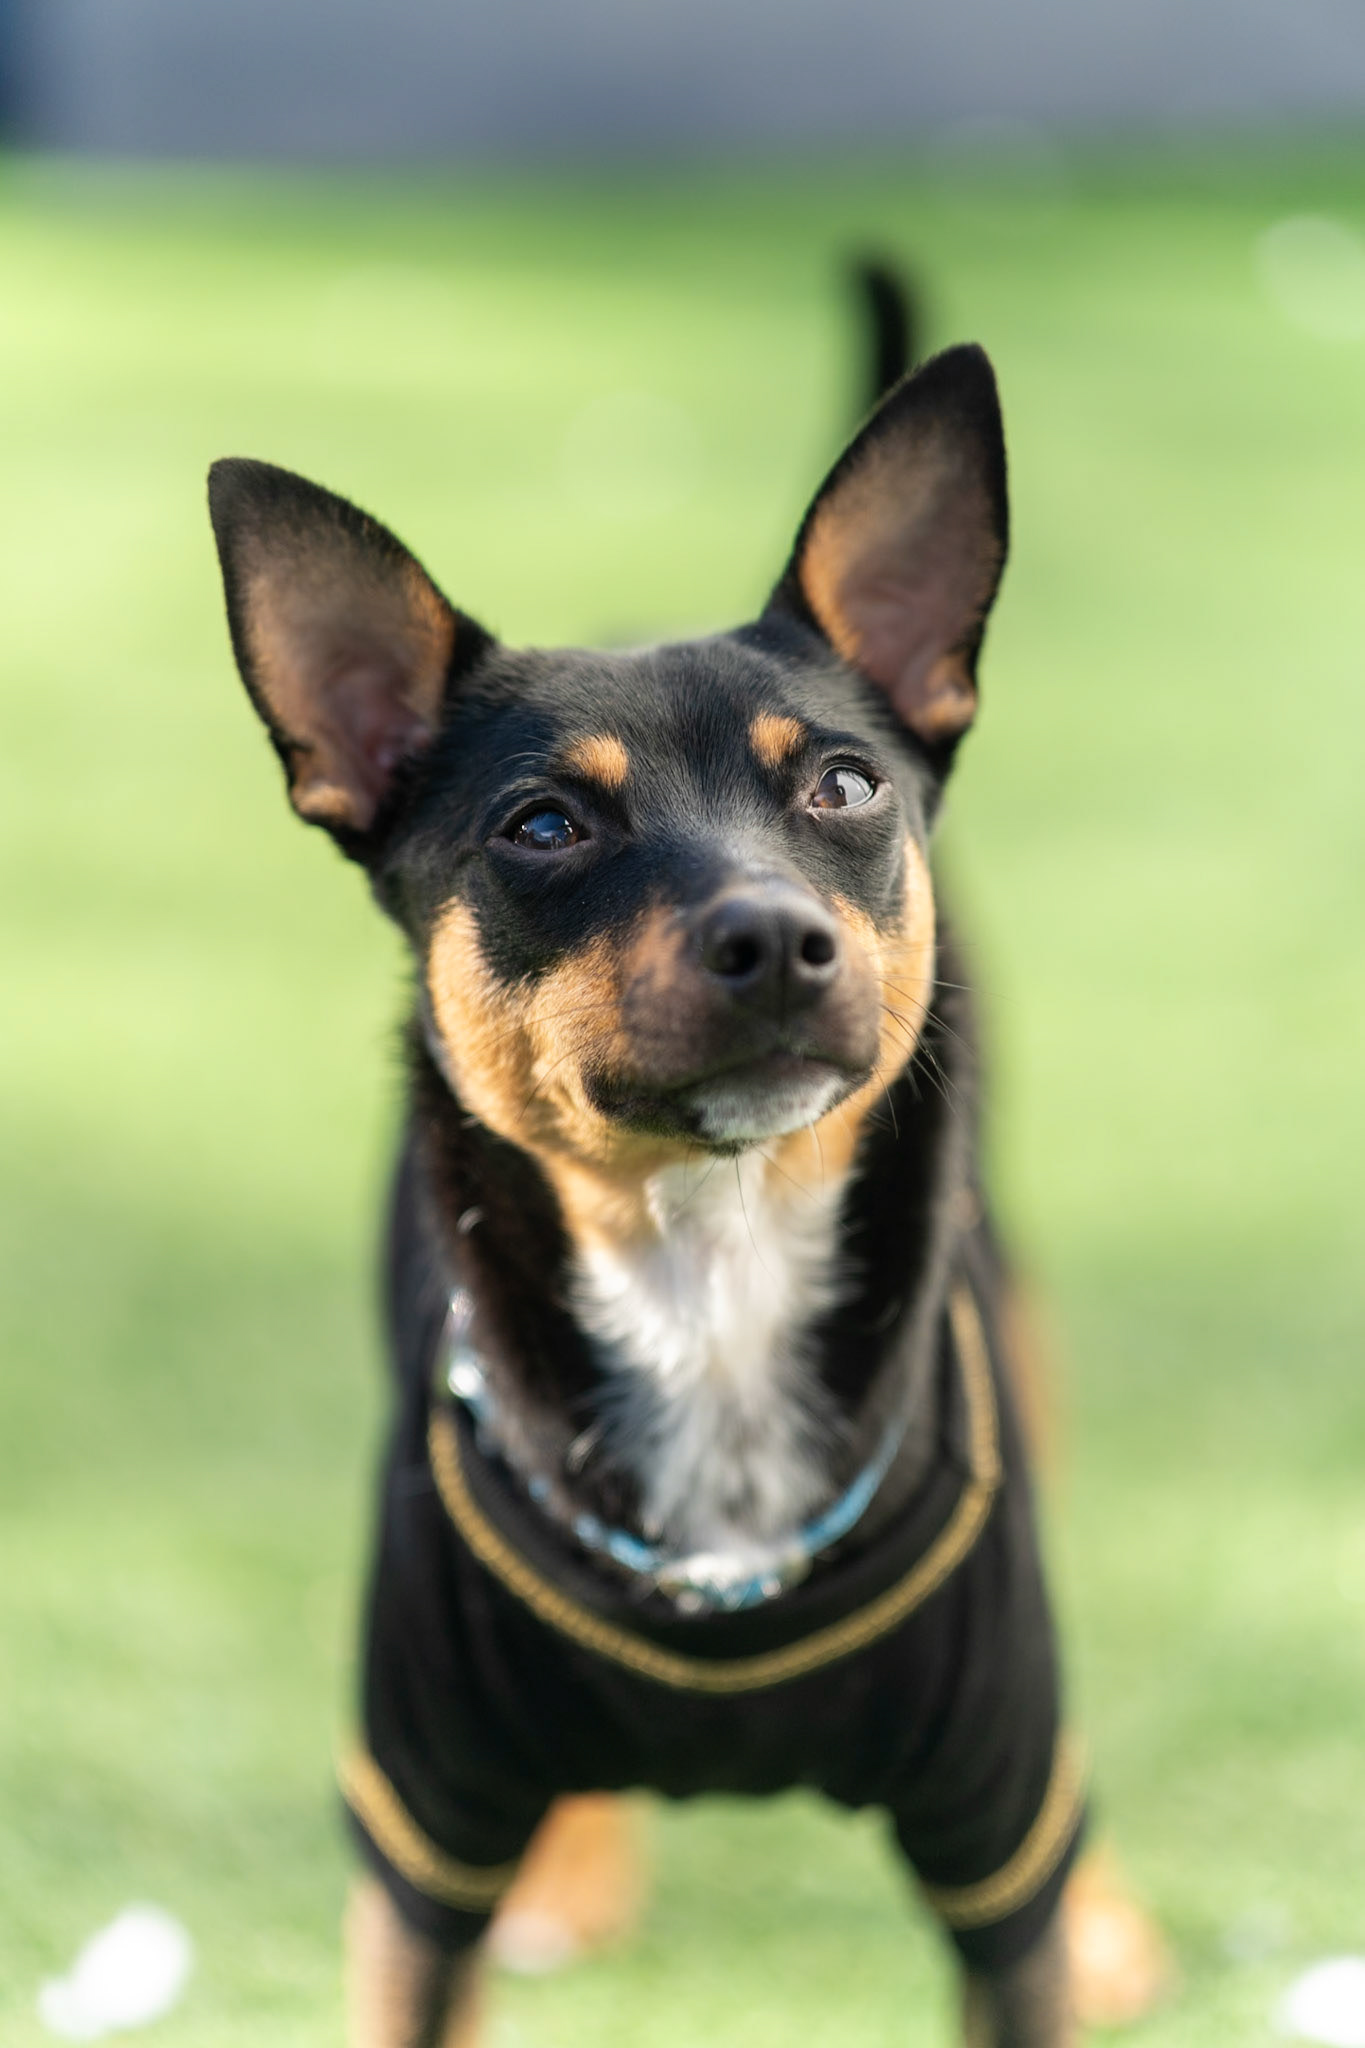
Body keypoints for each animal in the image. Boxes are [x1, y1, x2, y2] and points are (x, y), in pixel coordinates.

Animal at [207, 280, 1155, 2047]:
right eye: (542, 827)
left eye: (843, 784)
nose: (773, 935)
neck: (712, 1278)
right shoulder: (417, 1848)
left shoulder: (993, 1839)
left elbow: (1031, 1898)